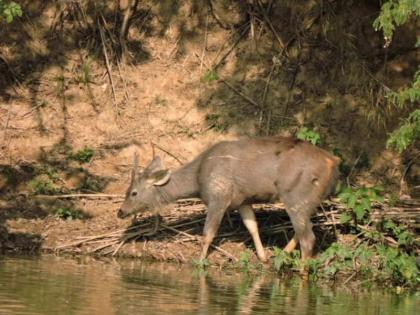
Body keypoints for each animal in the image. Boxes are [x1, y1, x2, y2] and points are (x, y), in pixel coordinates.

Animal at [116, 137, 340, 262]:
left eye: (133, 192)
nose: (120, 212)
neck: (198, 181)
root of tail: (333, 161)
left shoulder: (218, 196)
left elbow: (207, 234)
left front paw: (199, 262)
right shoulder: (242, 200)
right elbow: (252, 226)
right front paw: (263, 258)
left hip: (296, 194)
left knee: (308, 237)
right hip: (308, 199)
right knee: (303, 230)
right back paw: (281, 256)